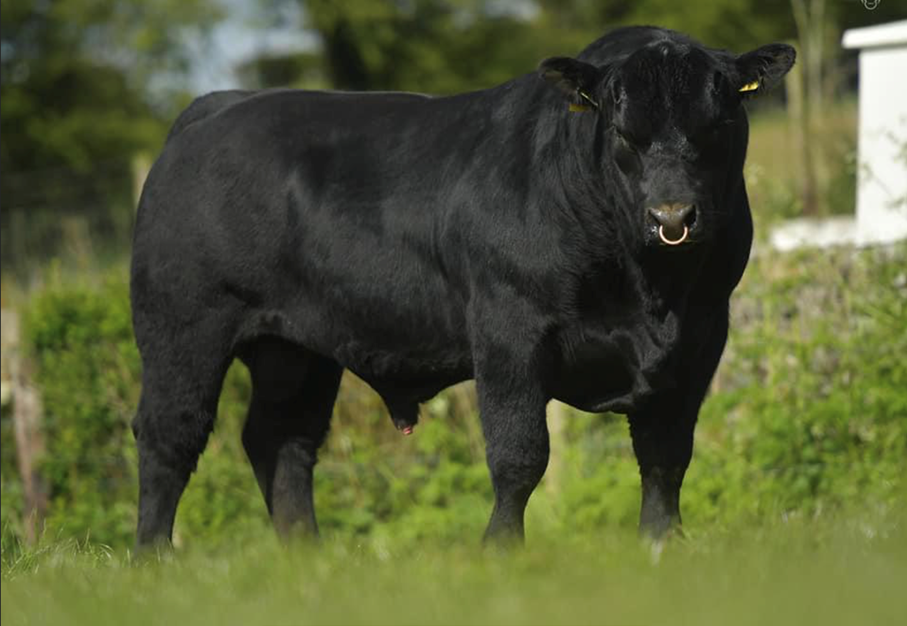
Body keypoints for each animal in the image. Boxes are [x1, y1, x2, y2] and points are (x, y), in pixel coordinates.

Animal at [130, 26, 795, 549]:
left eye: (716, 126)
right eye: (624, 132)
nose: (672, 217)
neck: (649, 294)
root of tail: (214, 109)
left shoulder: (701, 334)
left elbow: (667, 453)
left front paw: (661, 544)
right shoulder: (508, 329)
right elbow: (520, 454)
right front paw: (500, 549)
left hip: (295, 349)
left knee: (282, 442)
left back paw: (307, 557)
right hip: (184, 327)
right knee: (169, 437)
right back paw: (153, 560)